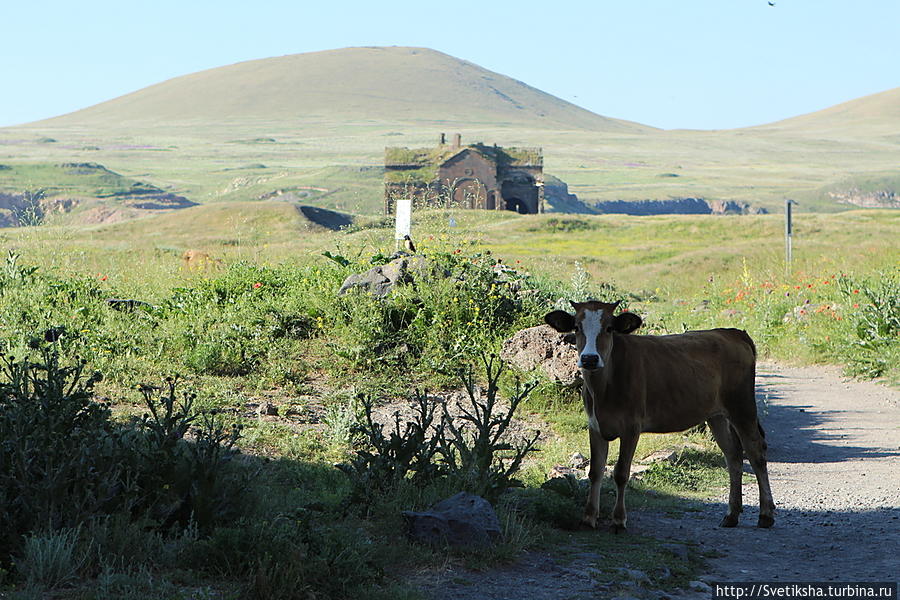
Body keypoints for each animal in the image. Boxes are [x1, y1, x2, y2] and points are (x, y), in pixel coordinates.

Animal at [544, 302, 776, 532]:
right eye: (576, 328)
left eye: (609, 328)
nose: (589, 359)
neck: (603, 390)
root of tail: (733, 332)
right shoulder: (595, 425)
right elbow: (595, 471)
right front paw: (589, 518)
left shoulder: (631, 426)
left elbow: (621, 473)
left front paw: (619, 520)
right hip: (717, 415)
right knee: (733, 455)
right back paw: (731, 515)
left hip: (742, 407)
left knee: (755, 451)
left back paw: (765, 514)